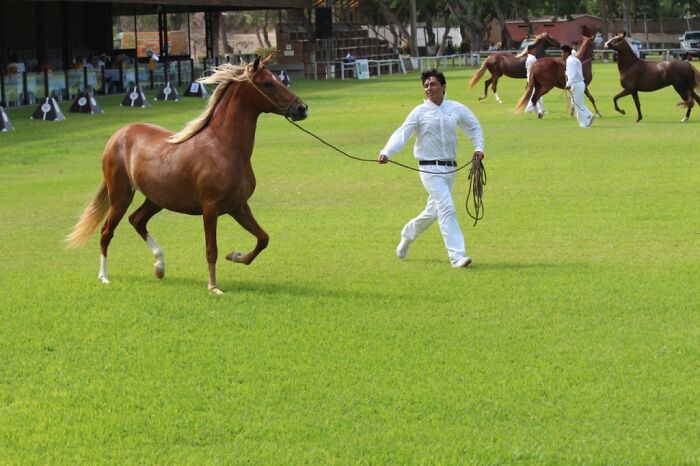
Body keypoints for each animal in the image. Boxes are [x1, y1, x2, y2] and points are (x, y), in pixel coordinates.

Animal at [65, 56, 306, 294]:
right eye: (268, 83)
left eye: (279, 79)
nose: (302, 108)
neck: (223, 147)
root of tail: (117, 135)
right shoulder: (210, 209)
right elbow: (211, 249)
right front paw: (213, 287)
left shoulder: (238, 207)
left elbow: (263, 238)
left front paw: (235, 256)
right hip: (120, 196)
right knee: (107, 232)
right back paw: (104, 276)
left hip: (156, 199)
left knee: (137, 220)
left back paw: (159, 267)